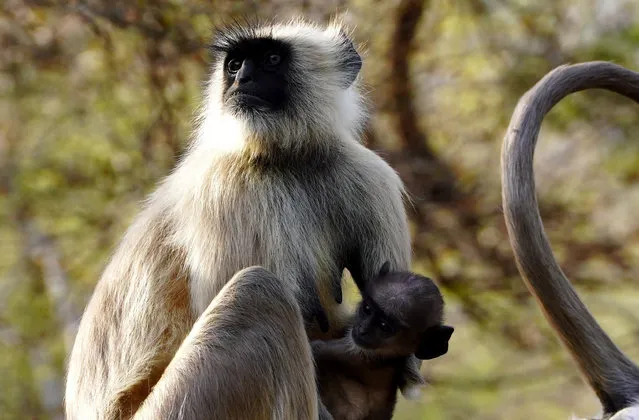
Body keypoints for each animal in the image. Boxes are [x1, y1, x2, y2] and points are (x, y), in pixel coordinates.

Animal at [63, 18, 420, 418]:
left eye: (270, 59)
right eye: (234, 65)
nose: (242, 80)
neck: (287, 157)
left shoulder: (369, 177)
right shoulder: (227, 188)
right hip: (181, 404)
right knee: (257, 291)